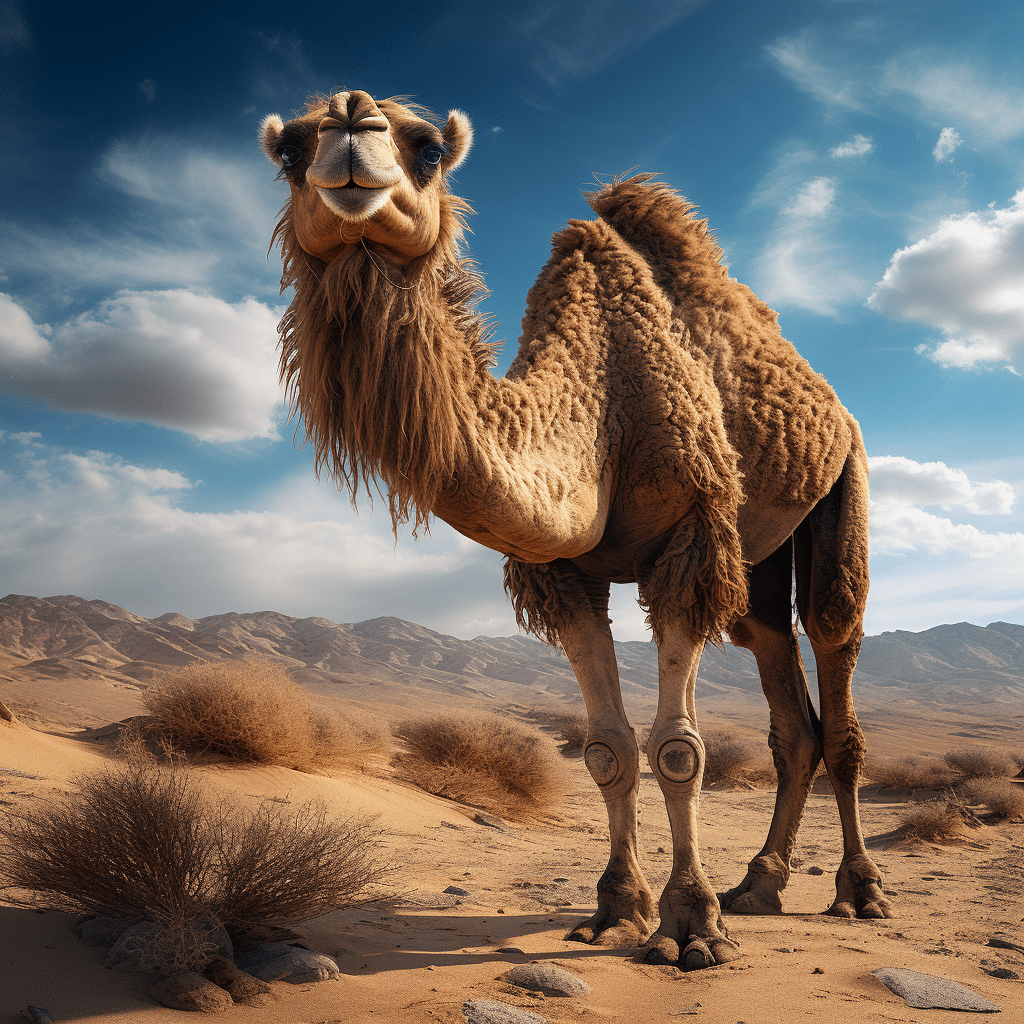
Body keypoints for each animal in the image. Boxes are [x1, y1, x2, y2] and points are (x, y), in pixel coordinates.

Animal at [260, 91, 892, 971]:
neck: (599, 407)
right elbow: (607, 749)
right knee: (779, 679)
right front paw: (616, 912)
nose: (353, 120)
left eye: (427, 149)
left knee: (835, 653)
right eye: (289, 150)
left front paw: (690, 927)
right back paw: (758, 886)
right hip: (757, 555)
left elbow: (677, 749)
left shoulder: (688, 540)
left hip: (845, 481)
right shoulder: (564, 571)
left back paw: (859, 892)